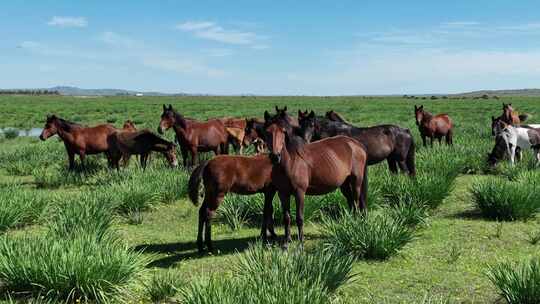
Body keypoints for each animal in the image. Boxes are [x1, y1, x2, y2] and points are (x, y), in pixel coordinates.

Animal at [264, 111, 370, 247]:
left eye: (283, 131)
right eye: (267, 132)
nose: (275, 156)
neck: (291, 161)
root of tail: (356, 144)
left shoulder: (300, 193)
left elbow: (299, 218)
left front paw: (301, 243)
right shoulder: (283, 194)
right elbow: (286, 218)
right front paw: (286, 242)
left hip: (356, 181)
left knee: (356, 203)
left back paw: (355, 225)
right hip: (344, 184)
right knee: (351, 202)